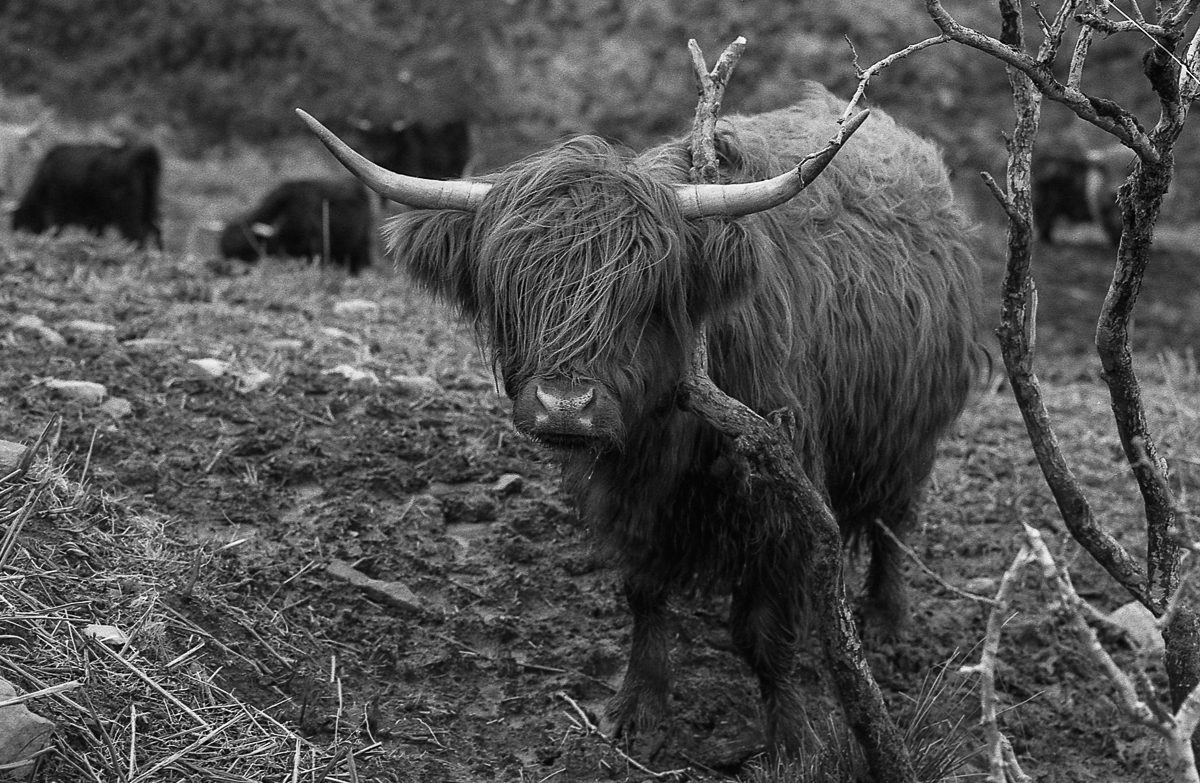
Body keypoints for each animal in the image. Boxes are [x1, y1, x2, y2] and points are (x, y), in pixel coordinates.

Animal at [11, 141, 163, 247]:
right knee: (155, 232)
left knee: (137, 237)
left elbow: (54, 231)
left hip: (128, 214)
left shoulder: (53, 212)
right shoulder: (95, 220)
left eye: (23, 225)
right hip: (150, 208)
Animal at [297, 81, 984, 754]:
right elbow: (645, 595)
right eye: (512, 288)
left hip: (910, 433)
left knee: (894, 520)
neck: (666, 438)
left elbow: (765, 636)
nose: (565, 406)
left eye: (642, 298)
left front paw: (791, 742)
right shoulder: (629, 499)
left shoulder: (780, 494)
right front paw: (637, 710)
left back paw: (887, 623)